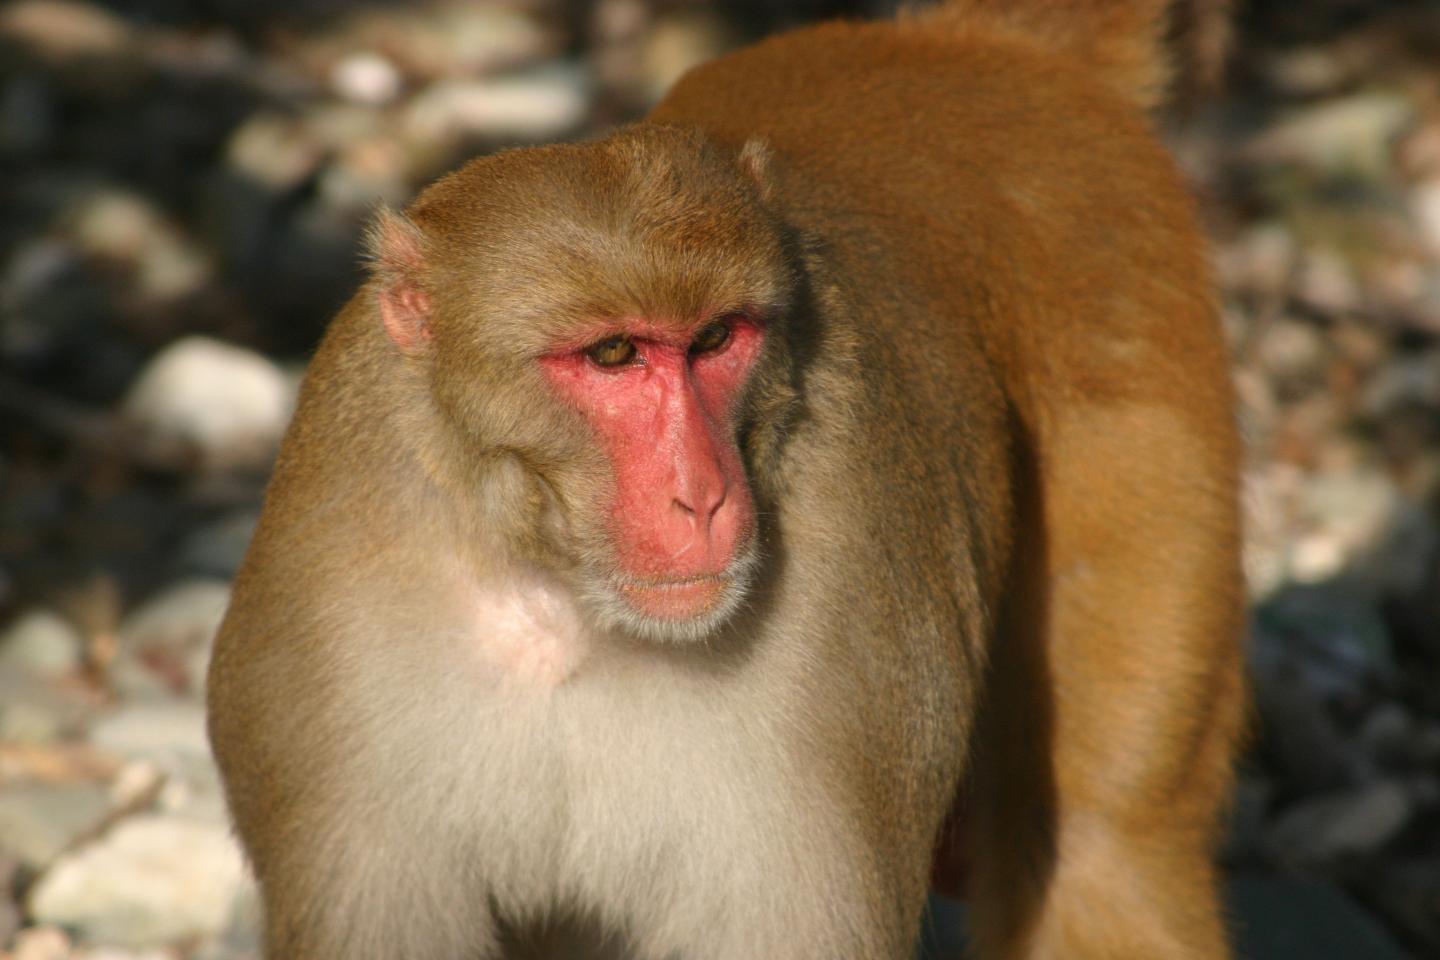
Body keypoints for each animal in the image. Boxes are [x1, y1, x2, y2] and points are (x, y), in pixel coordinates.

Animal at [206, 1, 1245, 957]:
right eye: (614, 354)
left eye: (713, 340)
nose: (700, 496)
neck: (570, 604)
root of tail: (973, 47)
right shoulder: (336, 614)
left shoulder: (847, 639)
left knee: (1100, 848)